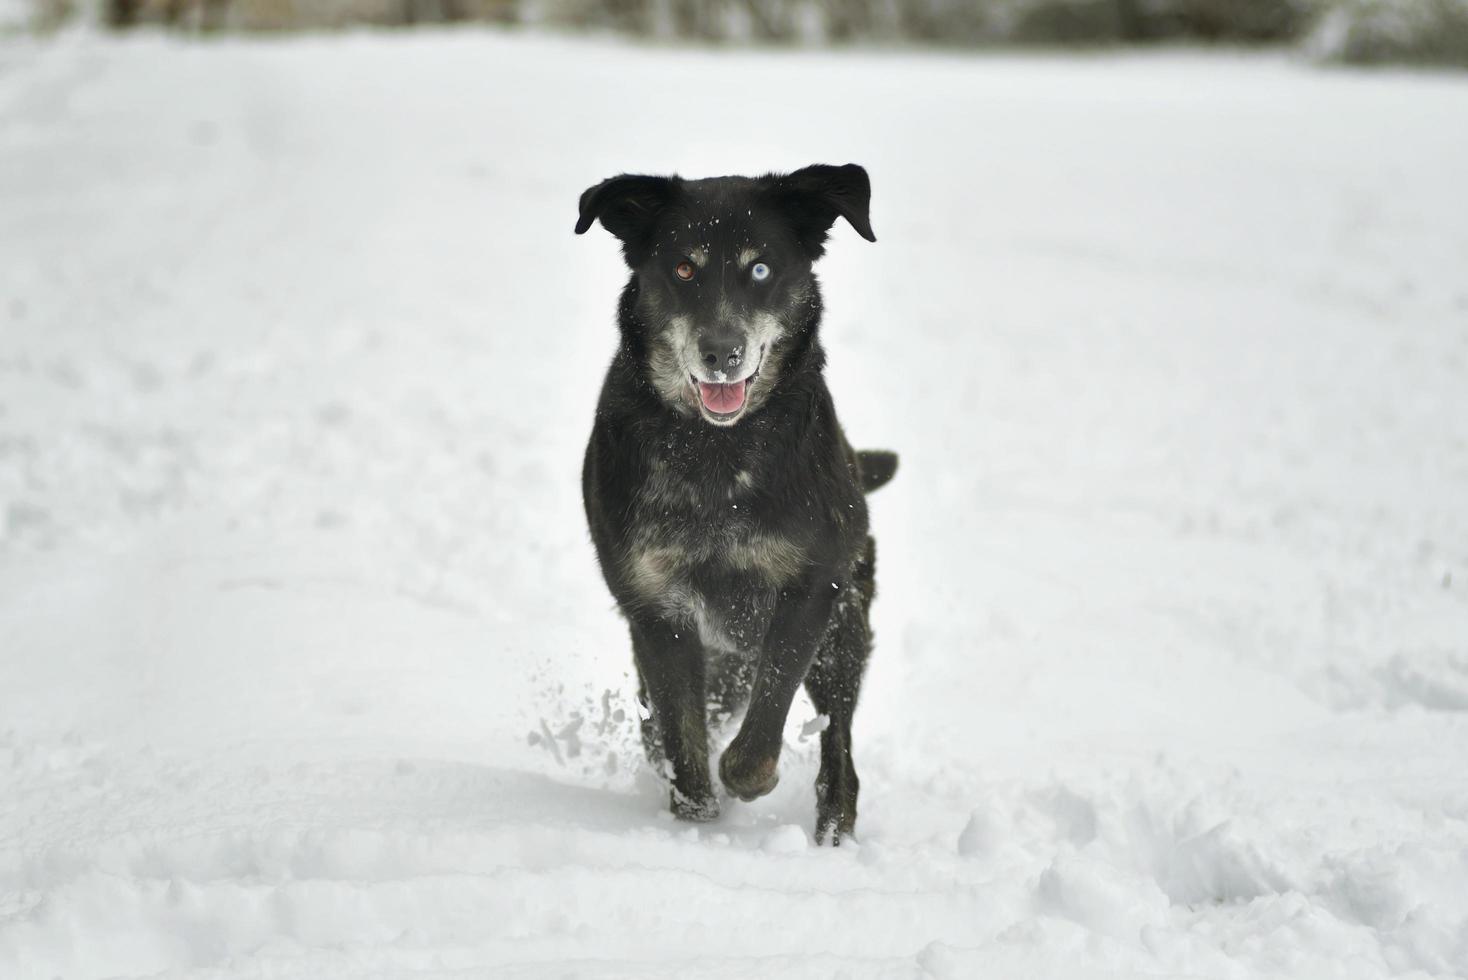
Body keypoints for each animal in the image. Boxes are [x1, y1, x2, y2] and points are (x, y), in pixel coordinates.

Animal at [572, 162, 892, 845]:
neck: (715, 451)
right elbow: (678, 738)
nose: (722, 353)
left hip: (844, 629)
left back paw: (834, 829)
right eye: (683, 268)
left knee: (839, 745)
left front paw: (747, 782)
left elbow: (762, 726)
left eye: (761, 269)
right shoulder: (656, 608)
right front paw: (695, 824)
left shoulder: (812, 588)